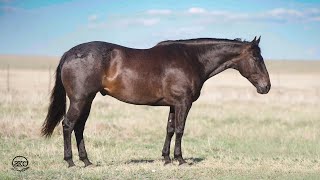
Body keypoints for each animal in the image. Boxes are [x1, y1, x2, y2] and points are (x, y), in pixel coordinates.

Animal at [42, 36, 270, 167]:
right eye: (257, 58)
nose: (266, 87)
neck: (191, 58)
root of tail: (69, 53)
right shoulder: (184, 103)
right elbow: (180, 129)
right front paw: (180, 159)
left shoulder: (173, 105)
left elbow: (169, 129)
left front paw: (166, 158)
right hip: (79, 100)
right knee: (68, 125)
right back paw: (70, 161)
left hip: (88, 100)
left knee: (79, 127)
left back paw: (87, 161)